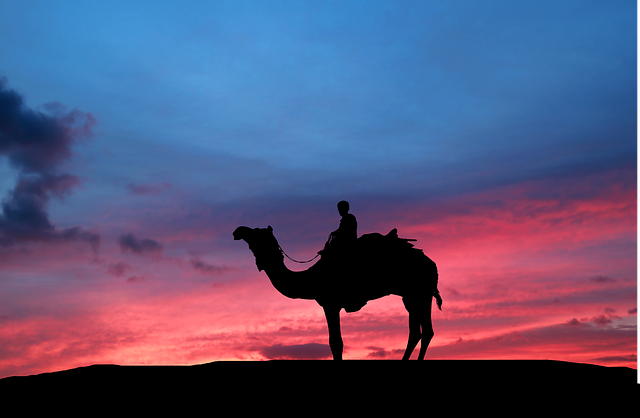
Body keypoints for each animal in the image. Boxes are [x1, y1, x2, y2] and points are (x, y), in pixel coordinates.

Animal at [232, 225, 442, 360]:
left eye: (256, 232)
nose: (237, 231)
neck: (310, 279)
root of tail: (432, 265)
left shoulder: (330, 304)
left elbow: (336, 343)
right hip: (412, 295)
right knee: (419, 331)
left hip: (419, 291)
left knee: (424, 331)